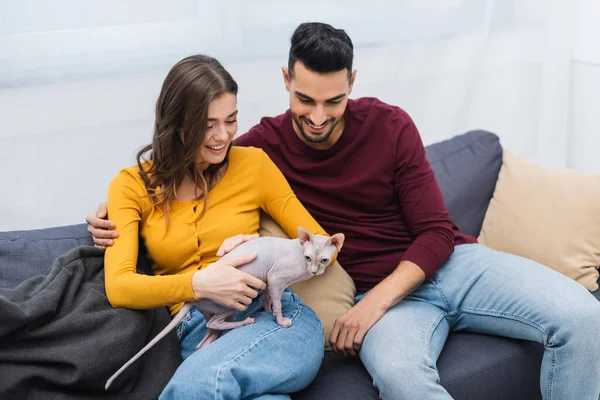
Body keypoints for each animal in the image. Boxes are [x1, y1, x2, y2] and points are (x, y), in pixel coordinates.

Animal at [105, 227, 344, 390]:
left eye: (324, 260)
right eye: (308, 258)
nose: (314, 271)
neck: (299, 254)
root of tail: (192, 298)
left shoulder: (269, 281)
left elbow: (269, 298)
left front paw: (267, 310)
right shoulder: (276, 279)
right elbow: (276, 302)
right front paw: (280, 320)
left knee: (205, 337)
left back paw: (211, 343)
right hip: (230, 301)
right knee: (214, 322)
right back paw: (245, 322)